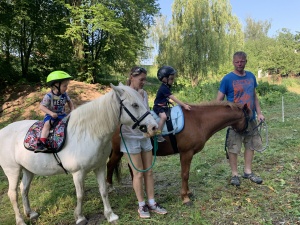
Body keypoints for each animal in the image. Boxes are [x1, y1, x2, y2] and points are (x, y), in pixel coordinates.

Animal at [0, 84, 158, 225]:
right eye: (135, 105)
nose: (154, 127)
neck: (89, 133)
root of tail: (3, 131)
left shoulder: (100, 167)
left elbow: (103, 191)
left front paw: (110, 215)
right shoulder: (78, 173)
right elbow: (80, 195)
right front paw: (80, 217)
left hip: (28, 169)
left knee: (24, 189)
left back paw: (30, 213)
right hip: (12, 170)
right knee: (12, 194)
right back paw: (20, 220)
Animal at [106, 102, 252, 206]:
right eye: (249, 118)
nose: (248, 133)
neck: (199, 121)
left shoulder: (188, 154)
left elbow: (186, 174)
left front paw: (188, 193)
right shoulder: (186, 153)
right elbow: (185, 174)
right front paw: (185, 198)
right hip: (118, 152)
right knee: (110, 165)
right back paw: (109, 188)